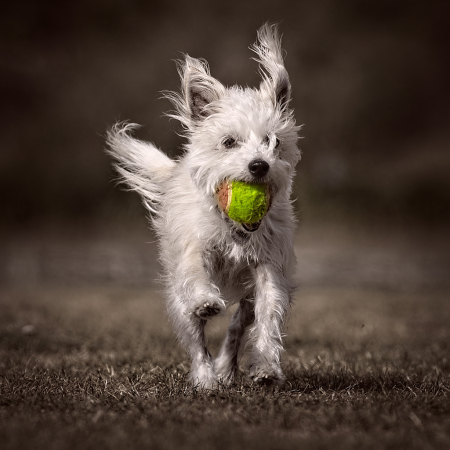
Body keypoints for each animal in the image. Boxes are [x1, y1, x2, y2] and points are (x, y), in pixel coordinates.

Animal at [107, 23, 300, 386]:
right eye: (229, 142)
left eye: (274, 142)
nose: (259, 166)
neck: (234, 227)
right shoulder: (194, 248)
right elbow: (197, 272)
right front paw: (207, 300)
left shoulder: (269, 266)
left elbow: (268, 315)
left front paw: (267, 366)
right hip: (177, 297)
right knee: (196, 337)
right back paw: (206, 378)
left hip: (245, 299)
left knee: (238, 326)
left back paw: (226, 368)